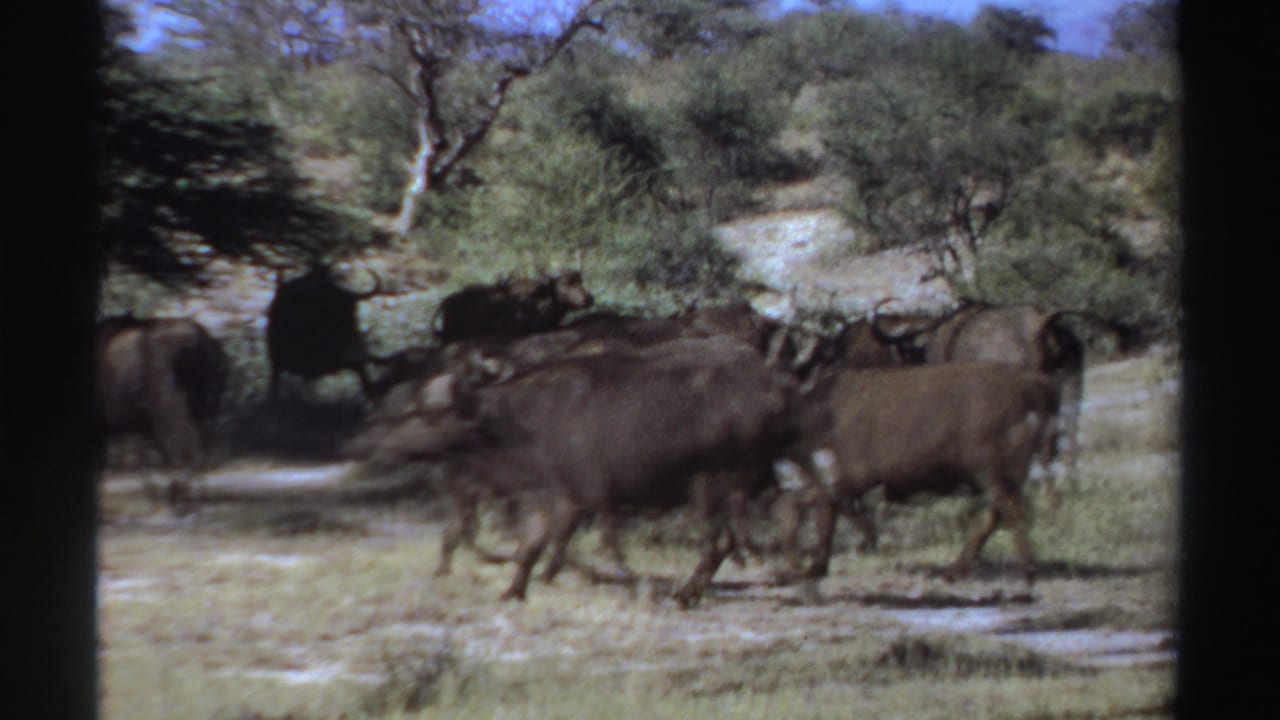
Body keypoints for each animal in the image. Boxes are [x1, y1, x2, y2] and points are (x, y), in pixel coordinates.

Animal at [98, 314, 228, 506]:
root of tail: (198, 340)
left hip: (172, 406)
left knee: (187, 442)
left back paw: (181, 493)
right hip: (207, 403)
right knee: (203, 444)